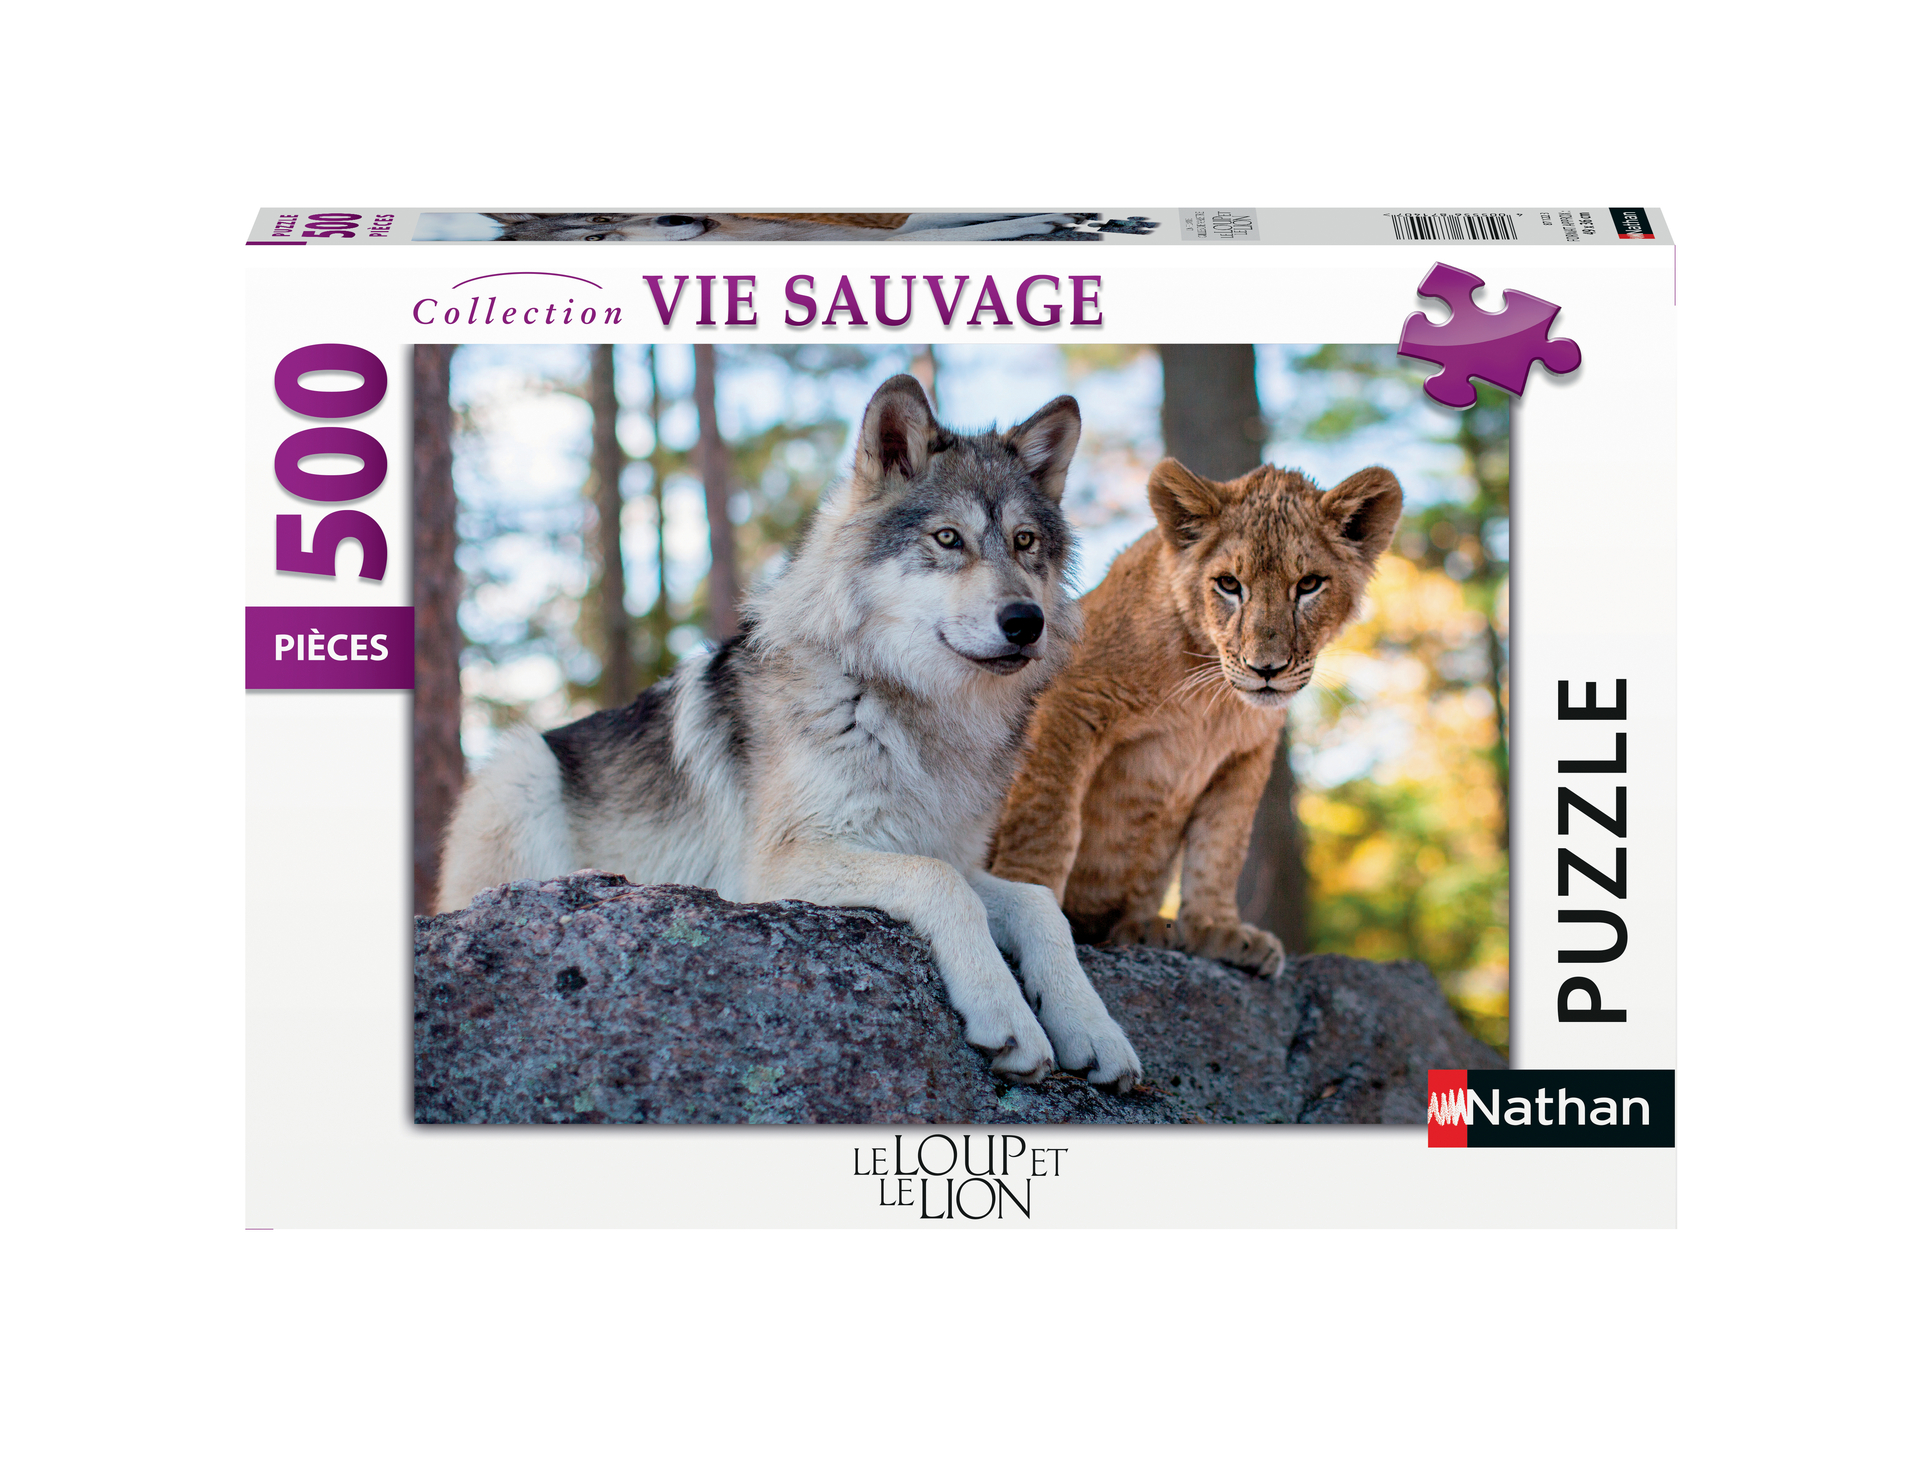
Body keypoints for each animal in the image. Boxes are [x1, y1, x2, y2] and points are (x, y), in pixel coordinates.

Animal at [437, 375, 1143, 1089]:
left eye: (1025, 543)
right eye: (948, 539)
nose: (1026, 621)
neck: (913, 710)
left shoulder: (947, 851)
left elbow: (1038, 904)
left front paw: (1093, 1028)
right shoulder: (774, 869)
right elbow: (939, 885)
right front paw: (1008, 1014)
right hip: (520, 767)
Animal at [990, 458, 1402, 976]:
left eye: (1309, 584)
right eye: (1228, 584)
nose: (1266, 669)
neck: (1214, 699)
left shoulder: (1247, 755)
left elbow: (1221, 846)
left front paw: (1217, 931)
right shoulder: (1069, 701)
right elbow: (1048, 816)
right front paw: (1029, 900)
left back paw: (1146, 928)